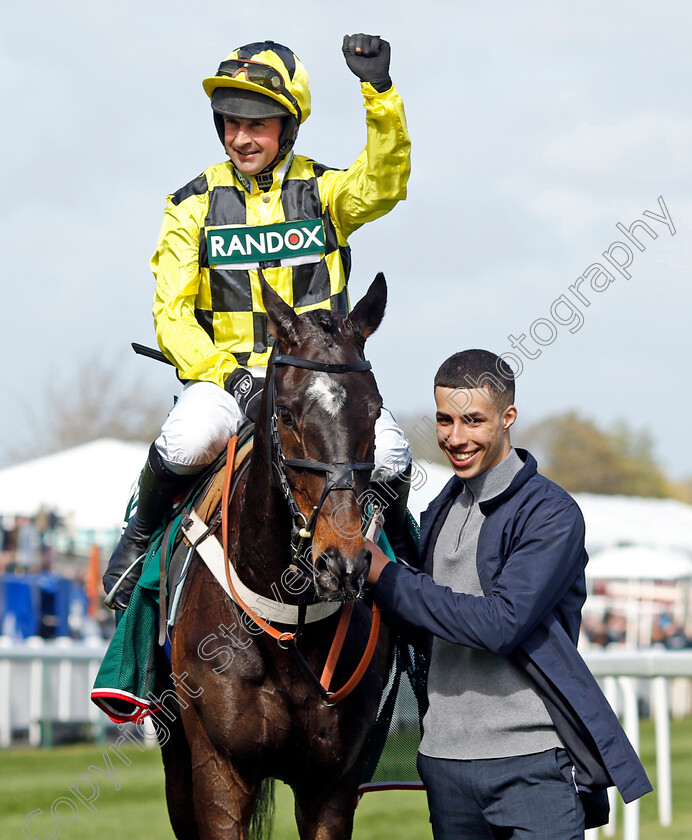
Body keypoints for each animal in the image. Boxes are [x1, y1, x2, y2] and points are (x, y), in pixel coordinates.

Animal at [157, 272, 394, 836]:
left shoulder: (331, 783)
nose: (342, 563)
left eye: (374, 411)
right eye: (285, 413)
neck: (289, 621)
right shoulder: (218, 771)